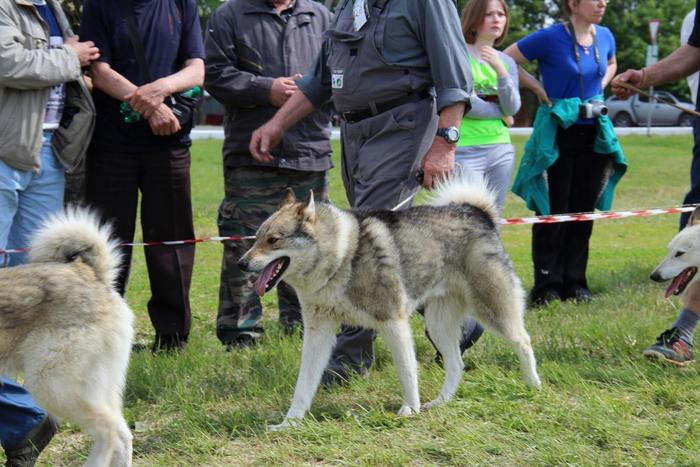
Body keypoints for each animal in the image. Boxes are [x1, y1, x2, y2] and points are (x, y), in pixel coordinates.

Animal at [239, 176, 541, 430]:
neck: (340, 257)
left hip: (492, 309)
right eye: (256, 238)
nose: (241, 263)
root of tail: (477, 212)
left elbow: (407, 372)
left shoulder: (393, 321)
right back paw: (440, 402)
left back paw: (533, 386)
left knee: (523, 341)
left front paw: (410, 409)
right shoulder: (318, 331)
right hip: (438, 325)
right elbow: (304, 384)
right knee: (456, 364)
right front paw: (289, 423)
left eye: (273, 240)